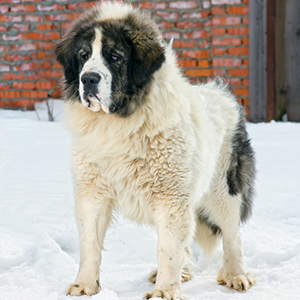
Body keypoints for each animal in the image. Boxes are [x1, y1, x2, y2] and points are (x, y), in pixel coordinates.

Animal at [54, 1, 255, 298]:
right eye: (83, 55)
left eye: (114, 57)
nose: (88, 78)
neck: (119, 123)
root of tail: (221, 92)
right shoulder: (93, 191)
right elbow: (90, 244)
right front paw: (85, 285)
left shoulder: (170, 196)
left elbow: (168, 248)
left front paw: (165, 291)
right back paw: (184, 273)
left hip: (223, 191)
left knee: (232, 234)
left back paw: (236, 274)